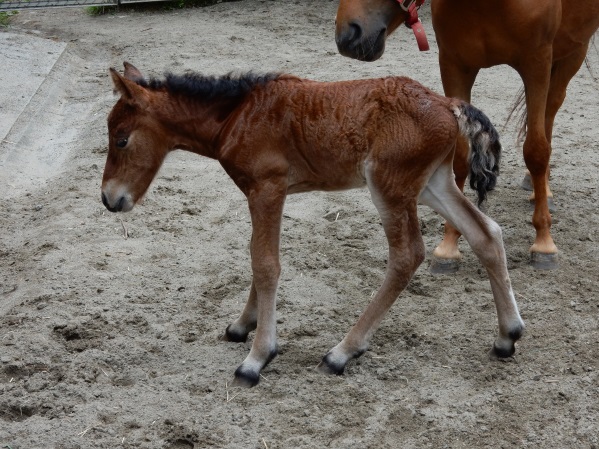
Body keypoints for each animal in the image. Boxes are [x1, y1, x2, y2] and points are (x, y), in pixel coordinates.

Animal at [101, 62, 524, 384]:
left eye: (121, 139)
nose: (108, 198)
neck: (237, 114)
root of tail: (448, 103)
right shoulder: (264, 193)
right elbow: (257, 256)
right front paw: (242, 325)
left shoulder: (267, 188)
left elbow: (266, 264)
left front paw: (257, 357)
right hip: (433, 183)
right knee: (486, 233)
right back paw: (507, 336)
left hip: (391, 187)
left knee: (408, 256)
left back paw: (341, 352)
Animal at [336, 0, 599, 270]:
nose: (348, 35)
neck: (488, 6)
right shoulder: (455, 65)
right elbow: (460, 160)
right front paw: (449, 245)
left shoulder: (537, 64)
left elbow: (536, 151)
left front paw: (544, 243)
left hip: (571, 56)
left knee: (549, 115)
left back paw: (543, 190)